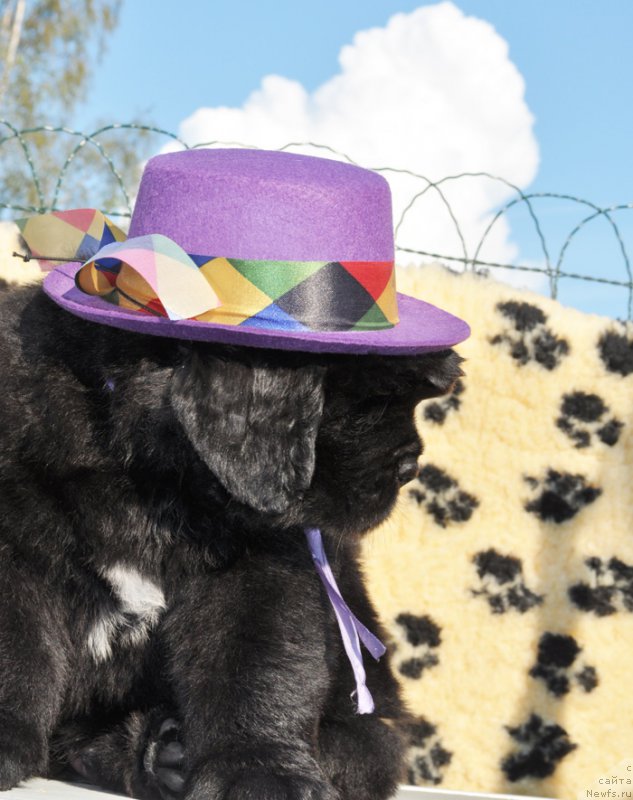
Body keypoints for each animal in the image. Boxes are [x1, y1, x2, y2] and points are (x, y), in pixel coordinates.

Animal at [0, 280, 462, 792]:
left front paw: (259, 769)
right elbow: (17, 646)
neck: (151, 479)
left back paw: (160, 752)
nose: (411, 468)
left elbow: (253, 665)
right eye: (373, 400)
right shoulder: (16, 545)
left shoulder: (262, 571)